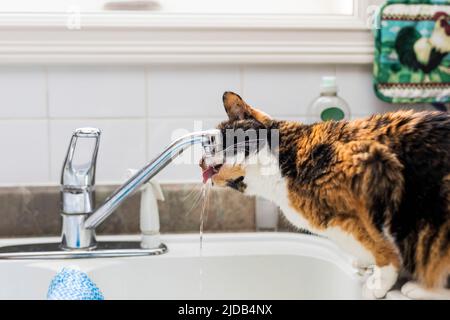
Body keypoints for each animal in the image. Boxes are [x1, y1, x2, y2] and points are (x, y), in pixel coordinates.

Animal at [201, 90, 450, 300]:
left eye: (212, 141)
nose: (200, 161)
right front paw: (365, 264)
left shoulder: (373, 165)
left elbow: (379, 243)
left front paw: (379, 281)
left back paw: (420, 288)